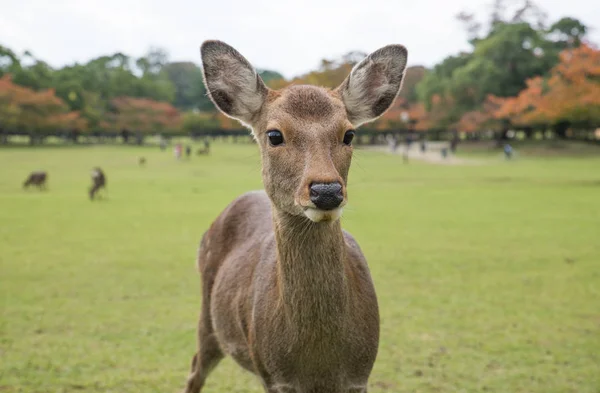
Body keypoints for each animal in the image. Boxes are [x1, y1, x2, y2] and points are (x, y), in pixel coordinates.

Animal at [183, 40, 408, 392]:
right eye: (274, 135)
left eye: (349, 134)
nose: (327, 191)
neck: (319, 364)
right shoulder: (275, 375)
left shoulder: (360, 375)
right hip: (210, 318)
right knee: (195, 368)